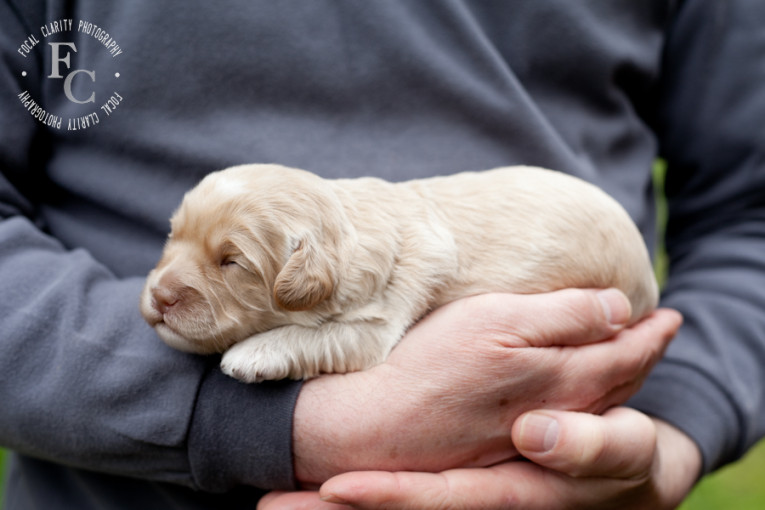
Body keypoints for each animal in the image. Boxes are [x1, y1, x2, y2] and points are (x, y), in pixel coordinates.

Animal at [139, 164, 656, 382]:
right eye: (173, 237)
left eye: (231, 262)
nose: (160, 297)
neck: (349, 223)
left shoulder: (375, 324)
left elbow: (314, 336)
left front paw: (254, 353)